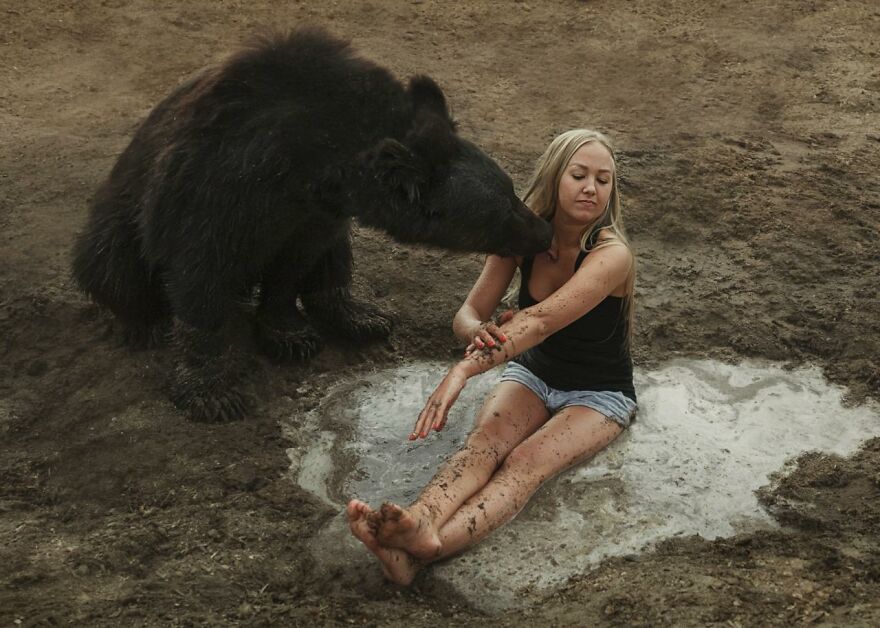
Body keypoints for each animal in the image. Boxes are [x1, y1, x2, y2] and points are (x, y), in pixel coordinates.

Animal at [72, 27, 553, 422]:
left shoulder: (314, 214)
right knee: (111, 264)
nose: (542, 231)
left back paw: (362, 315)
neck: (311, 164)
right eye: (504, 207)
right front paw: (213, 393)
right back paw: (141, 323)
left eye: (510, 190)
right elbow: (200, 277)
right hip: (120, 225)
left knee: (334, 263)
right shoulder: (219, 190)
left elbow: (297, 264)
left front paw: (289, 334)